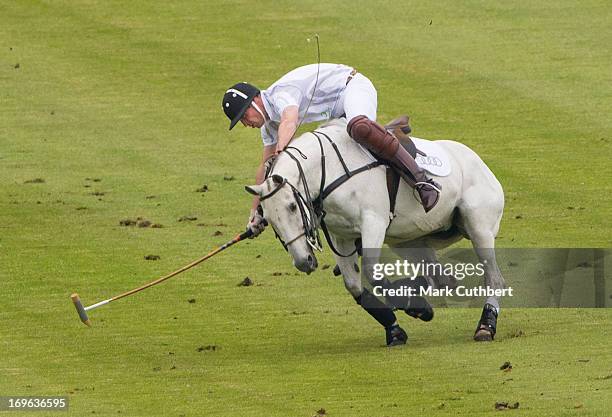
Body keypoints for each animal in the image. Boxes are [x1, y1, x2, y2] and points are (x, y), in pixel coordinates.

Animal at [246, 118, 504, 344]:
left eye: (292, 206)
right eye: (268, 218)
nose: (303, 262)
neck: (327, 170)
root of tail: (482, 165)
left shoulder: (374, 222)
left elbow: (372, 273)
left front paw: (413, 306)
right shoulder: (342, 237)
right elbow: (354, 285)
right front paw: (397, 328)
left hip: (479, 228)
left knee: (494, 279)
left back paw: (486, 326)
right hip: (408, 241)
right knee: (442, 279)